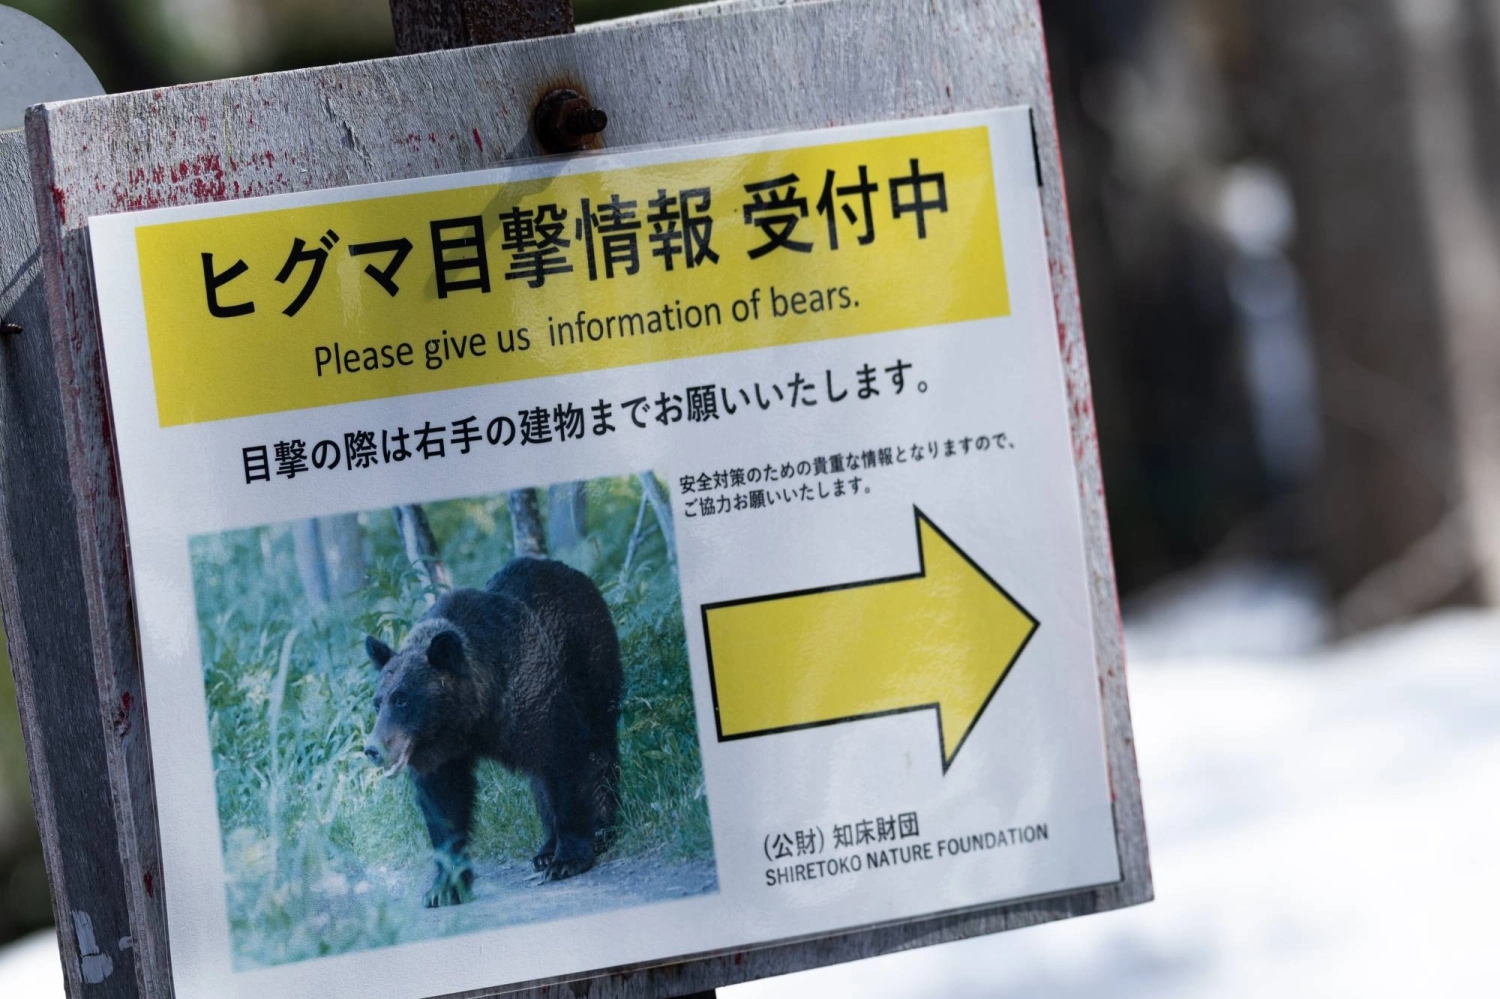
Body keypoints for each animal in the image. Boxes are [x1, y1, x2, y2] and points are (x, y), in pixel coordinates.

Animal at [362, 557, 622, 906]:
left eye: (401, 699)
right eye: (378, 702)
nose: (373, 748)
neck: (471, 719)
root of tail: (575, 574)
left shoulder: (532, 700)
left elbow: (565, 757)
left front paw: (569, 858)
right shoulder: (442, 756)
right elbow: (443, 805)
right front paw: (444, 887)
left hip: (588, 659)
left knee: (598, 741)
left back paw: (601, 828)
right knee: (539, 780)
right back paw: (544, 849)